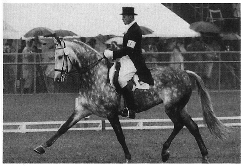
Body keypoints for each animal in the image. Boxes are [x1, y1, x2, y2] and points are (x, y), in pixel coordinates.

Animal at [33, 39, 229, 163]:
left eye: (60, 57)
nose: (56, 78)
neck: (95, 75)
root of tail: (185, 72)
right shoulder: (82, 110)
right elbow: (63, 128)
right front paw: (41, 147)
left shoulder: (111, 113)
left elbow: (120, 136)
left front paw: (128, 157)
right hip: (180, 107)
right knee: (192, 126)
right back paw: (204, 156)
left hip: (172, 108)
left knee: (180, 125)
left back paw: (165, 152)